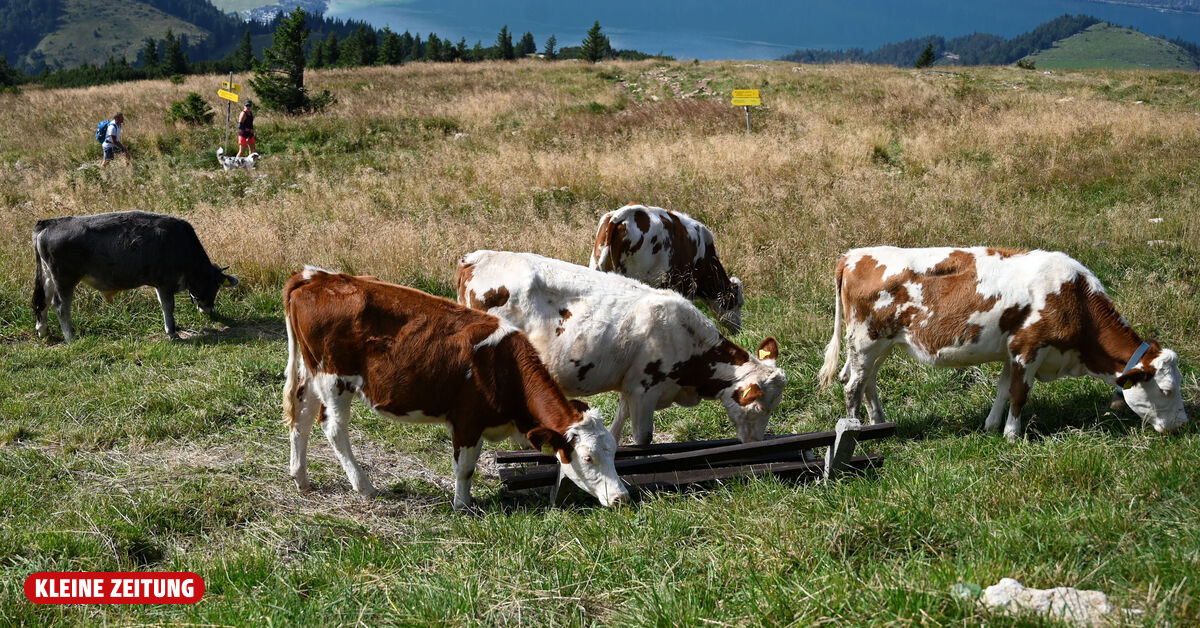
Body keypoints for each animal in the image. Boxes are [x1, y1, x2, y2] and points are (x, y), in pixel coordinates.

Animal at [31, 211, 239, 341]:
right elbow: (168, 306)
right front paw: (172, 333)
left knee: (43, 302)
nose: (209, 310)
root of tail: (49, 222)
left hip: (48, 277)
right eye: (215, 286)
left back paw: (43, 331)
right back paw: (70, 337)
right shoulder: (165, 283)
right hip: (65, 279)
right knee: (60, 305)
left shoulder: (159, 285)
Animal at [282, 266, 628, 510]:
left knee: (301, 415)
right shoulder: (467, 420)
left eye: (614, 451)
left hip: (312, 372)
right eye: (588, 458)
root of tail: (316, 277)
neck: (503, 365)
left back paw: (301, 478)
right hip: (334, 380)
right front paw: (463, 505)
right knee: (333, 429)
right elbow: (465, 468)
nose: (622, 497)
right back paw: (364, 486)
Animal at [457, 250, 786, 446]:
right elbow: (643, 437)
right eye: (759, 408)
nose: (757, 443)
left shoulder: (630, 385)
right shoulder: (645, 388)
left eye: (774, 407)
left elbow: (619, 421)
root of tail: (478, 257)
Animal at [817, 246, 1188, 439]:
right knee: (852, 385)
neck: (1074, 297)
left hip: (881, 344)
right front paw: (1012, 434)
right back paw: (855, 431)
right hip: (867, 340)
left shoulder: (1013, 351)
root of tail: (854, 254)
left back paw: (879, 424)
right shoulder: (1029, 349)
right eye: (1167, 390)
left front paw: (992, 425)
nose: (1182, 425)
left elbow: (1003, 388)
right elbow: (1020, 393)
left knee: (867, 382)